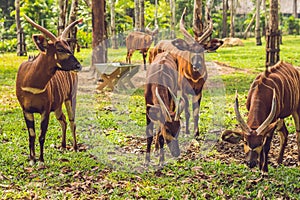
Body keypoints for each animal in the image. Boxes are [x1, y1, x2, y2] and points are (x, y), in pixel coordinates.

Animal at [15, 14, 82, 166]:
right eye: (60, 49)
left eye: (68, 47)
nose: (78, 65)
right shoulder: (26, 110)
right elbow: (32, 135)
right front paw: (32, 160)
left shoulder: (45, 111)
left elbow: (41, 135)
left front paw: (40, 161)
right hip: (57, 106)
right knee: (63, 120)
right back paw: (63, 147)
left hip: (70, 98)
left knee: (72, 121)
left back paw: (75, 148)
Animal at [148, 7, 211, 137]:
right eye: (190, 49)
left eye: (203, 49)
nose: (196, 64)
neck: (194, 76)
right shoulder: (184, 90)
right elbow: (187, 111)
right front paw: (187, 132)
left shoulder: (198, 90)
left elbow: (196, 112)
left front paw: (196, 133)